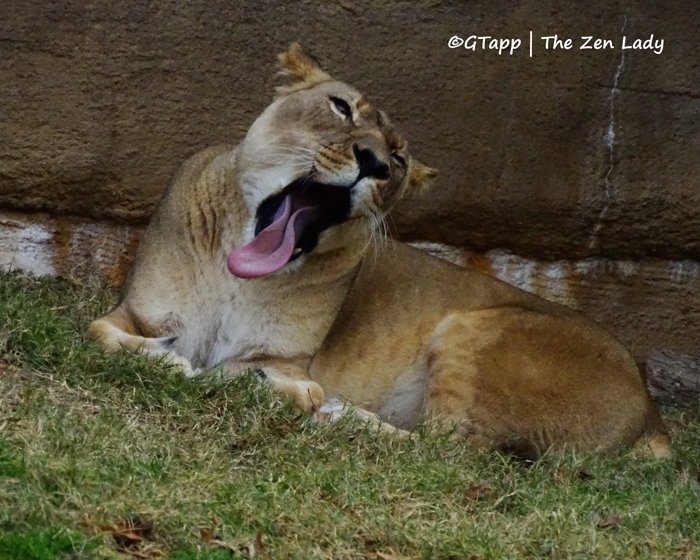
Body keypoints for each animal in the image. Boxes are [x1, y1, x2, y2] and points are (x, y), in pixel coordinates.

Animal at [88, 43, 670, 458]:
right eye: (340, 107)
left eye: (401, 160)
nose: (374, 162)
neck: (238, 274)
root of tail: (651, 410)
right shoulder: (138, 311)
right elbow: (97, 330)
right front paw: (167, 357)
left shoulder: (285, 357)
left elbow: (270, 375)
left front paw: (284, 392)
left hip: (476, 329)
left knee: (448, 452)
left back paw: (340, 414)